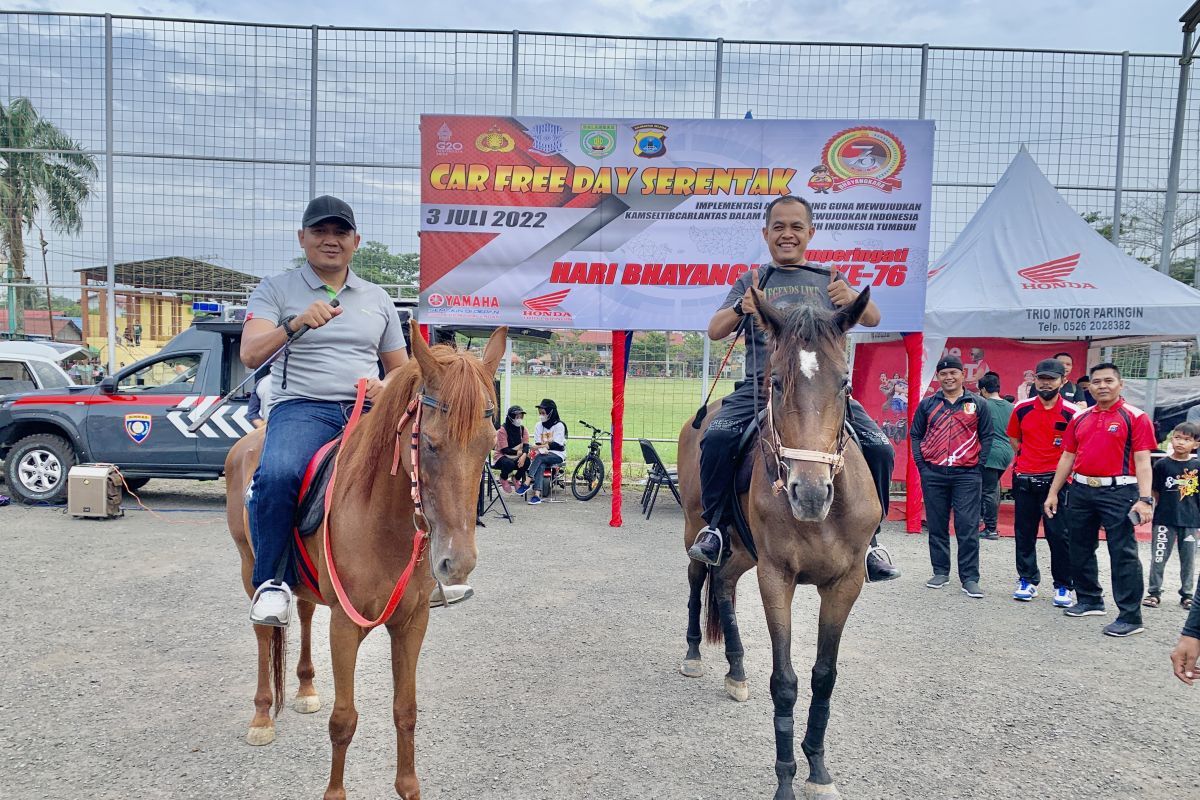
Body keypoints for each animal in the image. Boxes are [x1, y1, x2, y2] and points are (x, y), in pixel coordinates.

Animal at [226, 323, 504, 800]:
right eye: (431, 445)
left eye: (488, 445)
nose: (457, 563)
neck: (382, 523)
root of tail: (248, 441)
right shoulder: (345, 625)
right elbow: (344, 721)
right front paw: (334, 793)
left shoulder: (410, 623)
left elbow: (405, 710)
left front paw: (408, 788)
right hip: (250, 567)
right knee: (264, 634)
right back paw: (262, 716)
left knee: (302, 612)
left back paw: (305, 687)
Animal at [676, 287, 883, 800]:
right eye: (773, 383)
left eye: (845, 384)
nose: (808, 493)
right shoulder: (777, 577)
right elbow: (785, 681)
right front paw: (786, 779)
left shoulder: (846, 583)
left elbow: (824, 678)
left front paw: (818, 769)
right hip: (697, 530)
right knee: (698, 580)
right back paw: (694, 654)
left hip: (743, 551)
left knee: (724, 587)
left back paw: (735, 669)